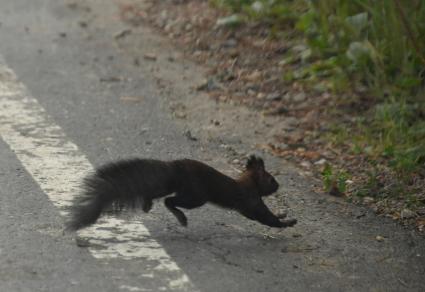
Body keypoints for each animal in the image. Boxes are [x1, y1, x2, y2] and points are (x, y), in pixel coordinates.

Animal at [66, 155, 296, 230]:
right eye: (271, 179)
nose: (278, 186)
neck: (248, 182)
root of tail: (175, 168)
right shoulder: (251, 200)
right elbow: (265, 217)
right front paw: (287, 222)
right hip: (196, 195)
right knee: (170, 201)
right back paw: (181, 217)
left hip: (171, 185)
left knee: (155, 192)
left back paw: (147, 204)